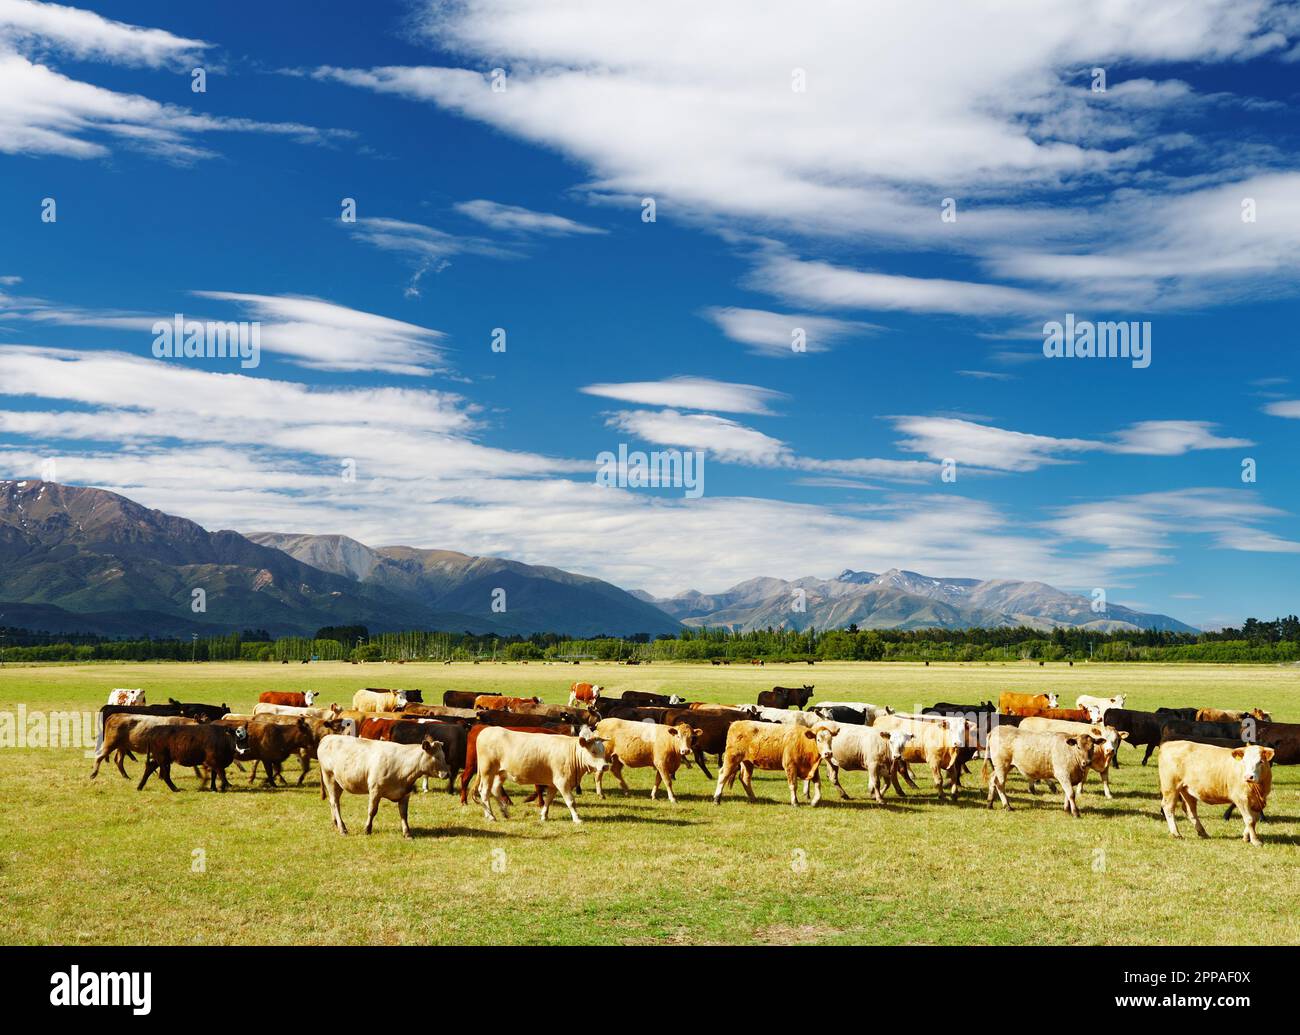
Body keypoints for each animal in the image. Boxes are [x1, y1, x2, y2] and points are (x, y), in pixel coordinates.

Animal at [317, 733, 449, 837]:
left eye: (444, 756)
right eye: (436, 757)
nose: (447, 774)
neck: (402, 765)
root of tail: (327, 737)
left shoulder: (405, 793)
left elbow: (404, 814)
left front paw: (407, 833)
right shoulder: (375, 790)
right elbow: (372, 811)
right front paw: (367, 830)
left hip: (338, 783)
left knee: (332, 802)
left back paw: (335, 823)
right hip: (330, 778)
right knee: (335, 803)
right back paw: (342, 829)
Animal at [473, 722, 608, 821]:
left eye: (603, 750)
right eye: (593, 751)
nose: (605, 766)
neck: (571, 752)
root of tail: (486, 731)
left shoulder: (553, 784)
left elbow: (548, 800)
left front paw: (544, 816)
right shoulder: (562, 782)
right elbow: (570, 801)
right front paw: (577, 819)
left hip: (501, 773)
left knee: (495, 789)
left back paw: (504, 812)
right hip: (487, 771)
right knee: (484, 792)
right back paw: (491, 816)